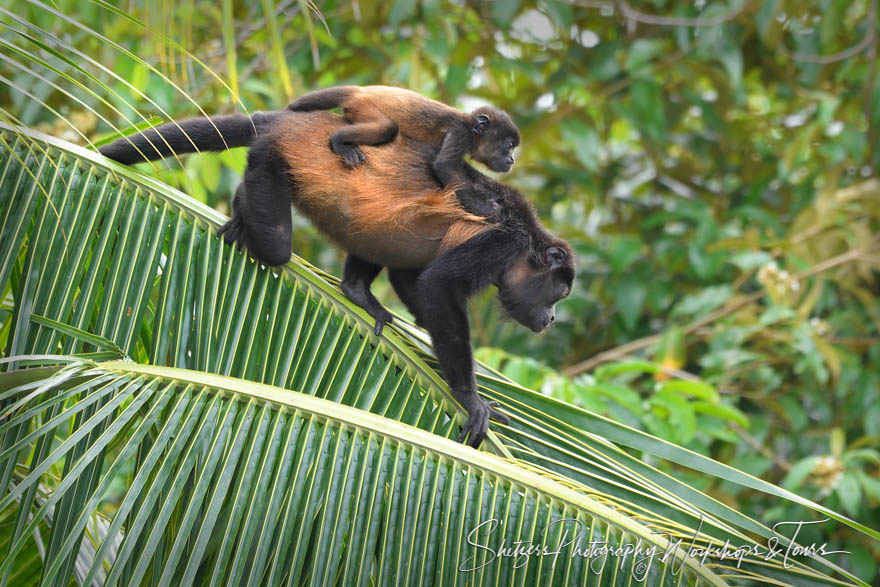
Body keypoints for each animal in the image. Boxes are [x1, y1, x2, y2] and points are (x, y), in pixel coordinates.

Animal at [99, 110, 576, 448]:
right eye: (559, 291)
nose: (553, 317)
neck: (529, 243)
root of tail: (290, 120)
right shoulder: (502, 240)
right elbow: (438, 286)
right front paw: (470, 397)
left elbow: (412, 278)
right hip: (272, 155)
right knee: (278, 241)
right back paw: (244, 216)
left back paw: (357, 292)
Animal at [288, 85, 520, 218]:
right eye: (509, 145)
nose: (512, 160)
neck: (470, 127)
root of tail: (360, 90)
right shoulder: (460, 132)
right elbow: (445, 165)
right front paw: (484, 209)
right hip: (364, 107)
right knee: (388, 127)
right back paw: (338, 141)